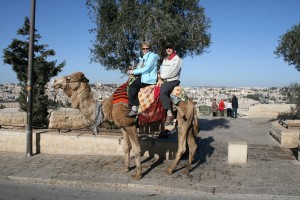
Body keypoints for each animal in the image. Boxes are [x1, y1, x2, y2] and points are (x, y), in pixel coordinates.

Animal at [54, 71, 199, 180]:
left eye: (69, 78)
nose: (55, 81)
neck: (108, 106)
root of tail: (192, 103)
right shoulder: (123, 127)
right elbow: (126, 147)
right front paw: (126, 168)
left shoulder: (130, 125)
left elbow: (137, 149)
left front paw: (138, 174)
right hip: (188, 123)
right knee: (193, 145)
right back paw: (186, 170)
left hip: (182, 120)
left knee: (182, 147)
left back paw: (169, 170)